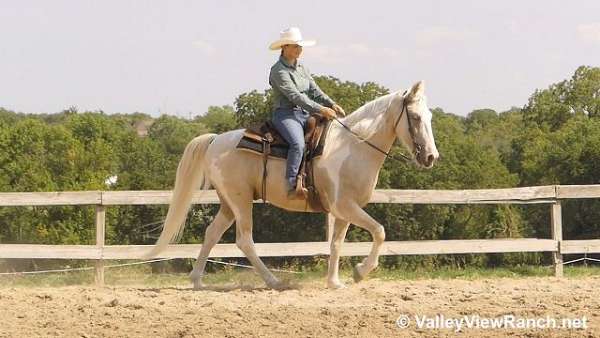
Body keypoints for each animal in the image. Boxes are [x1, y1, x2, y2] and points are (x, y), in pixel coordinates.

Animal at [144, 80, 436, 290]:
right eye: (416, 118)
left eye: (430, 117)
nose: (431, 157)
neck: (353, 146)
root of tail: (216, 140)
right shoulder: (345, 206)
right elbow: (379, 231)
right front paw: (360, 272)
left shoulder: (343, 212)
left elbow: (336, 244)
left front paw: (335, 282)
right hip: (241, 200)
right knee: (244, 241)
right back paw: (274, 281)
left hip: (228, 203)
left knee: (211, 234)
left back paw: (196, 280)